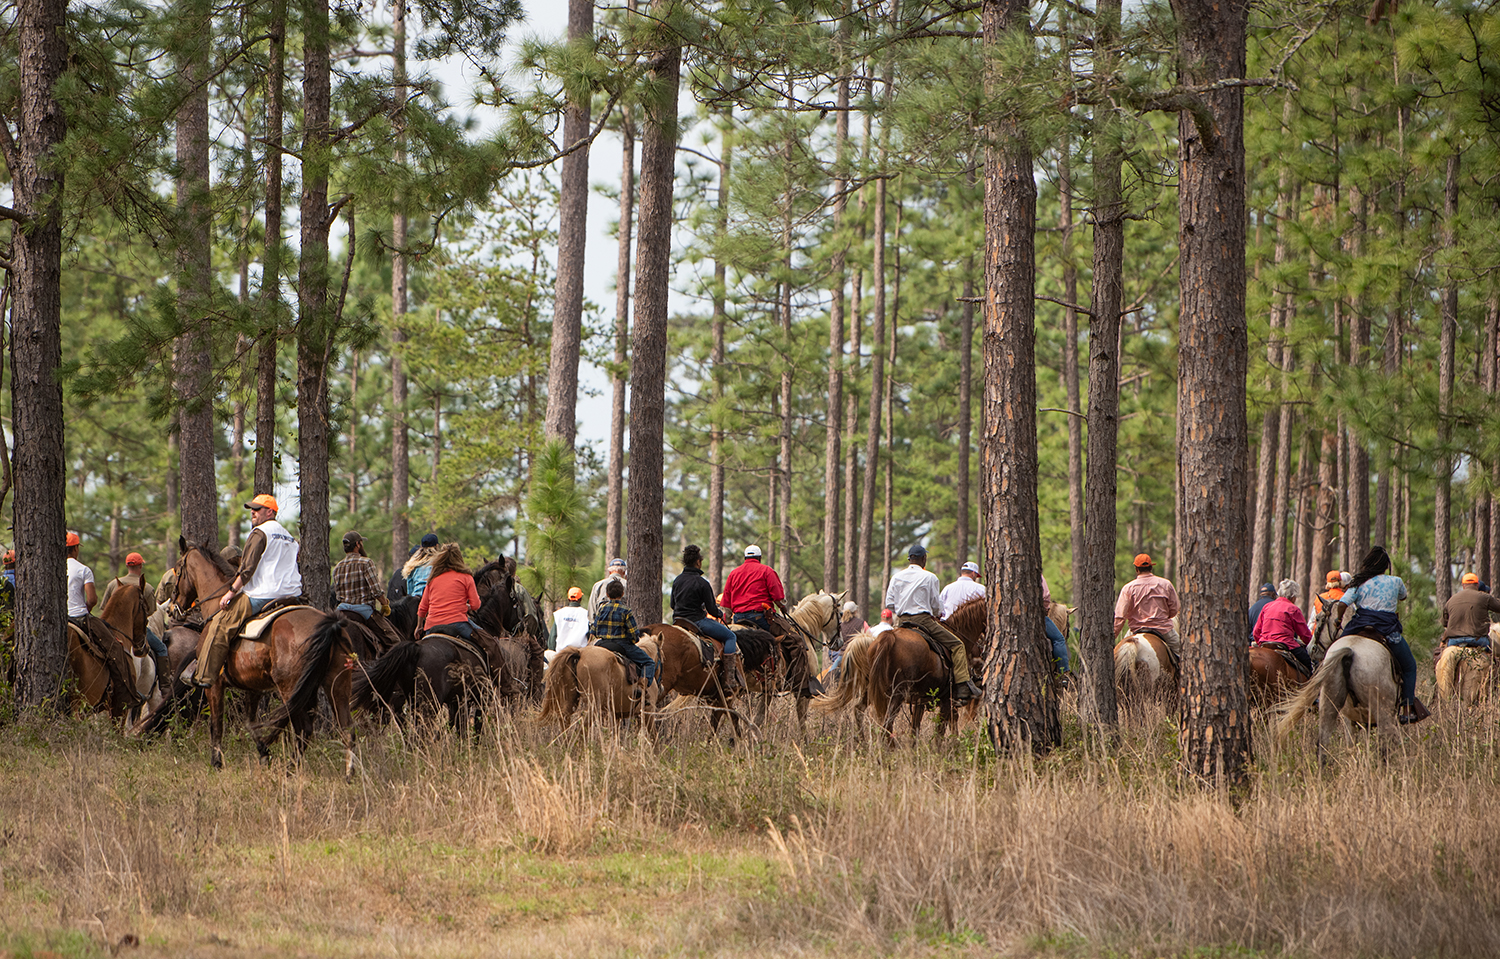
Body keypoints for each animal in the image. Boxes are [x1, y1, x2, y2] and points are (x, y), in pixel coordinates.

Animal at [165, 543, 360, 774]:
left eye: (178, 569)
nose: (171, 608)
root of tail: (330, 624)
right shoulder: (253, 687)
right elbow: (250, 722)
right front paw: (264, 754)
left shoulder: (215, 685)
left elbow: (216, 725)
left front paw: (217, 763)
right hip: (336, 684)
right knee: (346, 727)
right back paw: (349, 774)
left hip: (291, 689)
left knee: (304, 729)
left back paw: (291, 770)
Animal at [1278, 633, 1404, 762]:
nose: (1311, 648)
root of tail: (1350, 652)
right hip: (1383, 714)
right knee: (1384, 749)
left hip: (1328, 706)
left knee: (1322, 745)